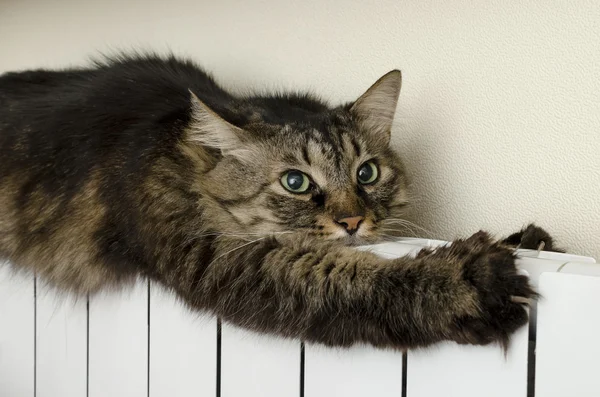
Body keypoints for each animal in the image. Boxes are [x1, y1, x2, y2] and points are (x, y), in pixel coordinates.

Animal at [0, 53, 544, 350]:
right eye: (296, 182)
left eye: (366, 173)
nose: (352, 222)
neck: (187, 160)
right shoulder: (220, 256)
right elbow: (347, 279)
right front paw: (464, 279)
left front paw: (530, 240)